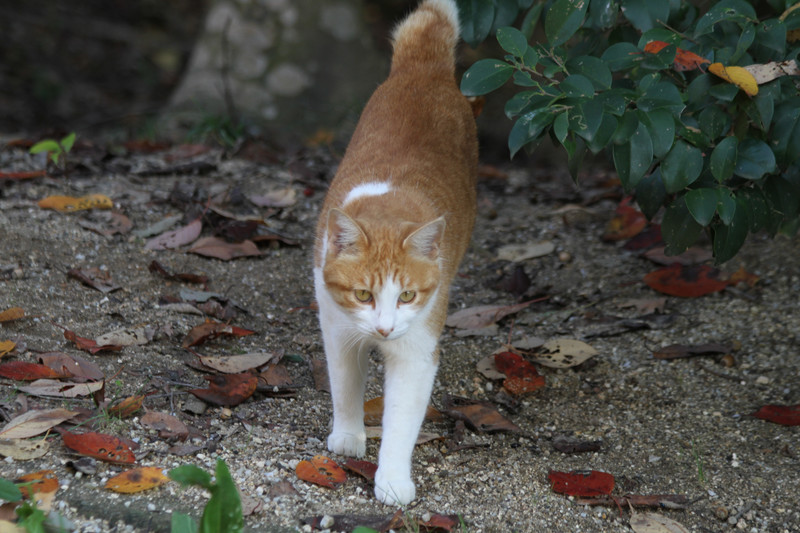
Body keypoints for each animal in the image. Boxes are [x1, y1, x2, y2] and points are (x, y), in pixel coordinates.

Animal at [312, 0, 476, 504]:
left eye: (406, 296)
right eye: (364, 295)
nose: (383, 329)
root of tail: (425, 68)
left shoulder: (416, 350)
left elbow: (402, 420)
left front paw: (392, 480)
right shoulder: (337, 324)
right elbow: (345, 385)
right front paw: (349, 436)